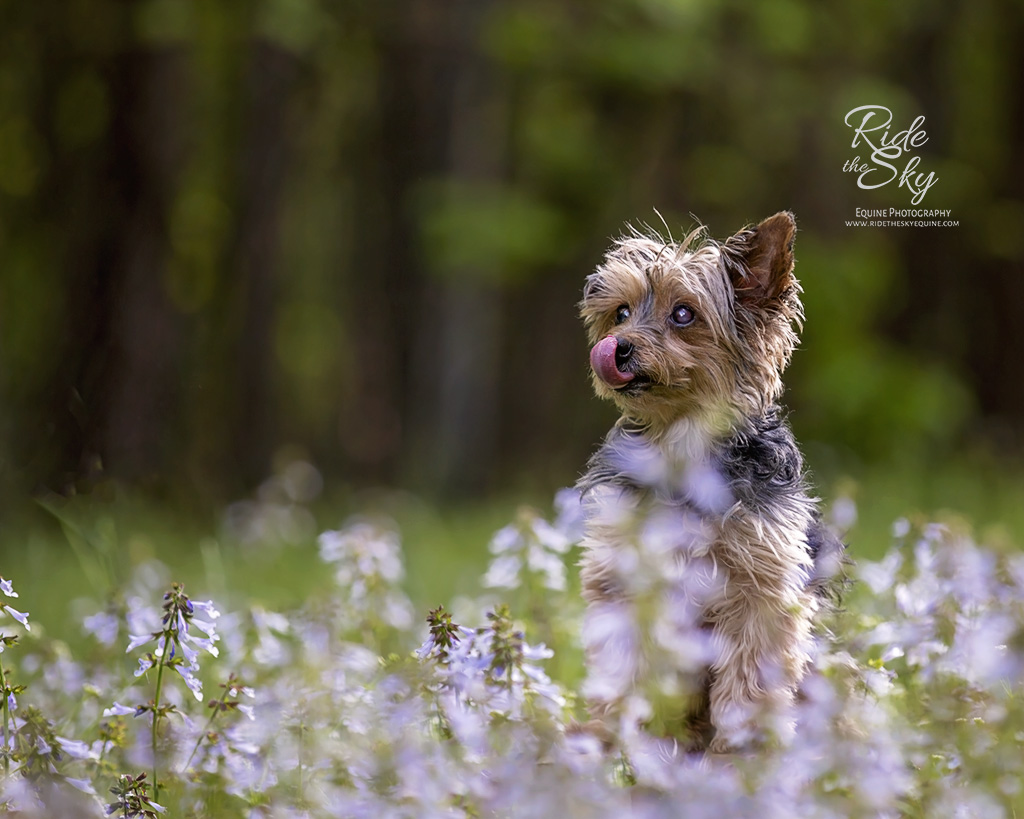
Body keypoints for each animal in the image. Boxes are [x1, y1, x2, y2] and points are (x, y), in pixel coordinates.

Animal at [581, 212, 843, 753]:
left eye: (684, 314)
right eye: (619, 313)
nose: (617, 347)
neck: (681, 443)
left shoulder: (762, 590)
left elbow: (750, 682)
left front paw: (744, 753)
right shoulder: (621, 579)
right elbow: (619, 671)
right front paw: (606, 743)